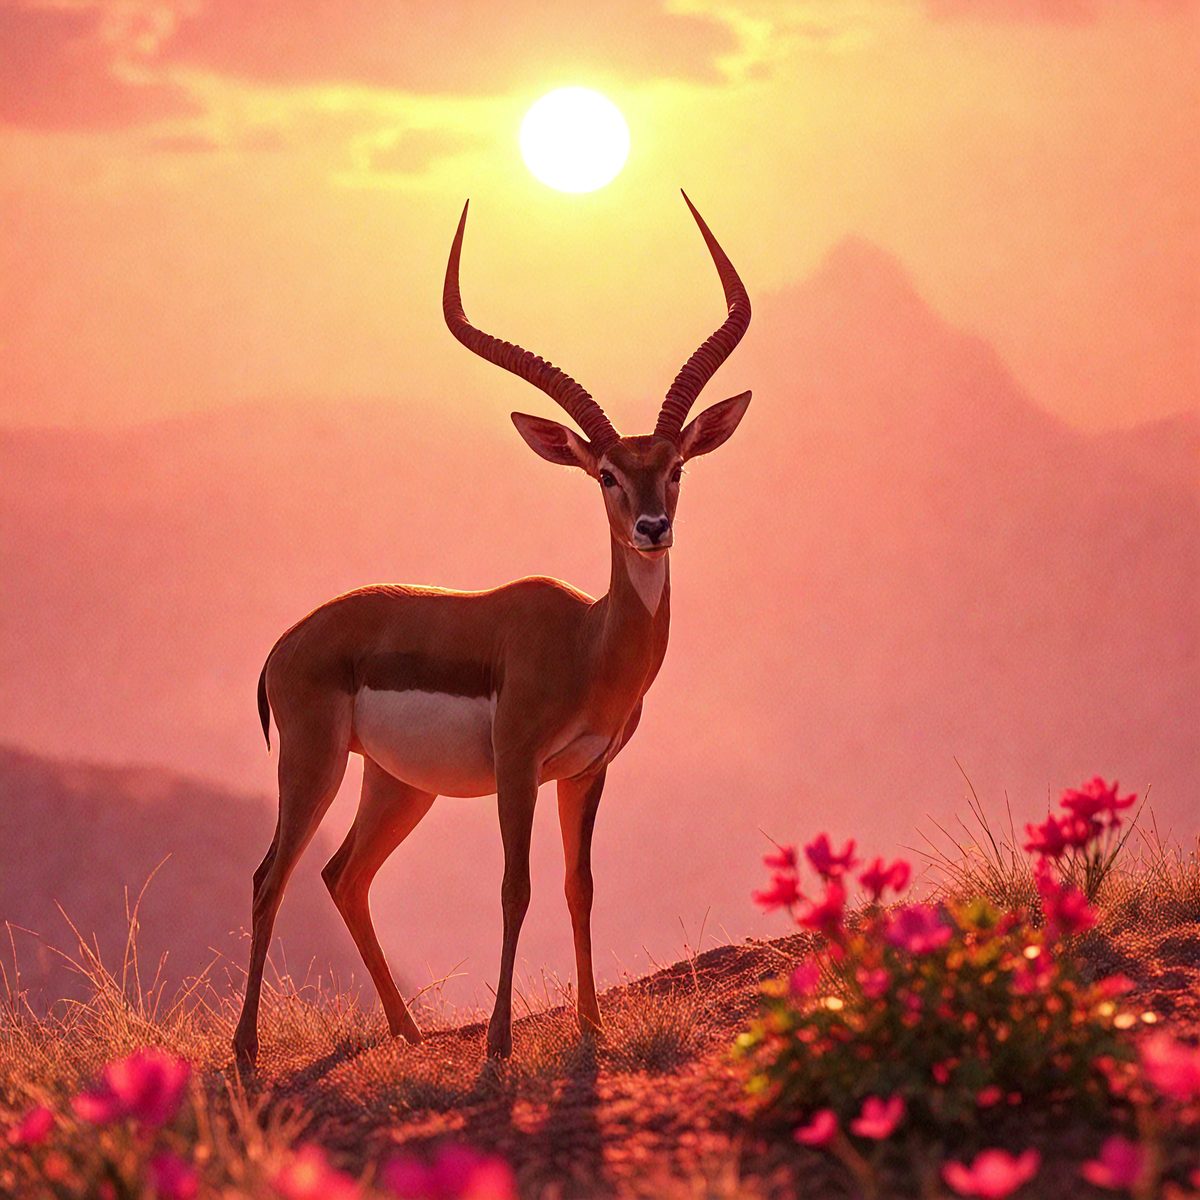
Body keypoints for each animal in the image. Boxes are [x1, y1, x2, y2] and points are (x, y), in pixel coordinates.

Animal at [233, 191, 751, 1066]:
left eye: (676, 466)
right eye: (605, 474)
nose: (652, 529)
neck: (585, 643)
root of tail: (285, 643)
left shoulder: (586, 771)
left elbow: (580, 887)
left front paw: (591, 1026)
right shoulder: (517, 766)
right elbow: (517, 887)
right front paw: (502, 1042)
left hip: (397, 783)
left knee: (344, 875)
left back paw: (407, 1031)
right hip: (314, 765)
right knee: (270, 875)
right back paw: (245, 1052)